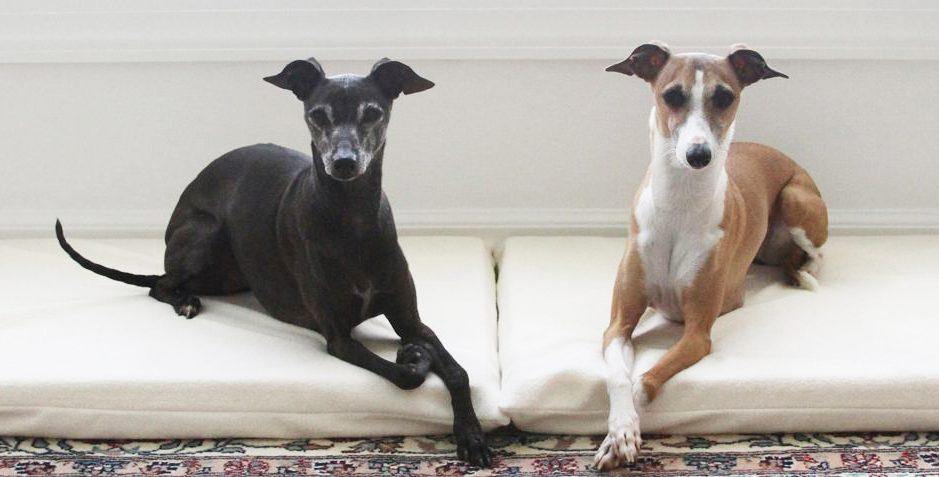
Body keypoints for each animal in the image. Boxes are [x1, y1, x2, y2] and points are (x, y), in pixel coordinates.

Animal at [53, 56, 492, 464]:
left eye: (372, 112)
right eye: (318, 115)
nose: (344, 163)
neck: (351, 220)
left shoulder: (410, 319)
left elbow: (459, 372)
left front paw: (472, 436)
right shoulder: (337, 337)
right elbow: (404, 376)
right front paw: (415, 357)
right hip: (207, 233)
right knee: (161, 283)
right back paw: (185, 301)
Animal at [596, 43, 828, 468]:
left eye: (724, 97)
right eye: (672, 95)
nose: (698, 154)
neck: (679, 204)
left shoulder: (697, 334)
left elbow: (645, 381)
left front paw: (623, 431)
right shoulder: (618, 325)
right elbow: (619, 376)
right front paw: (619, 429)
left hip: (796, 198)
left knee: (814, 256)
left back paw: (802, 273)